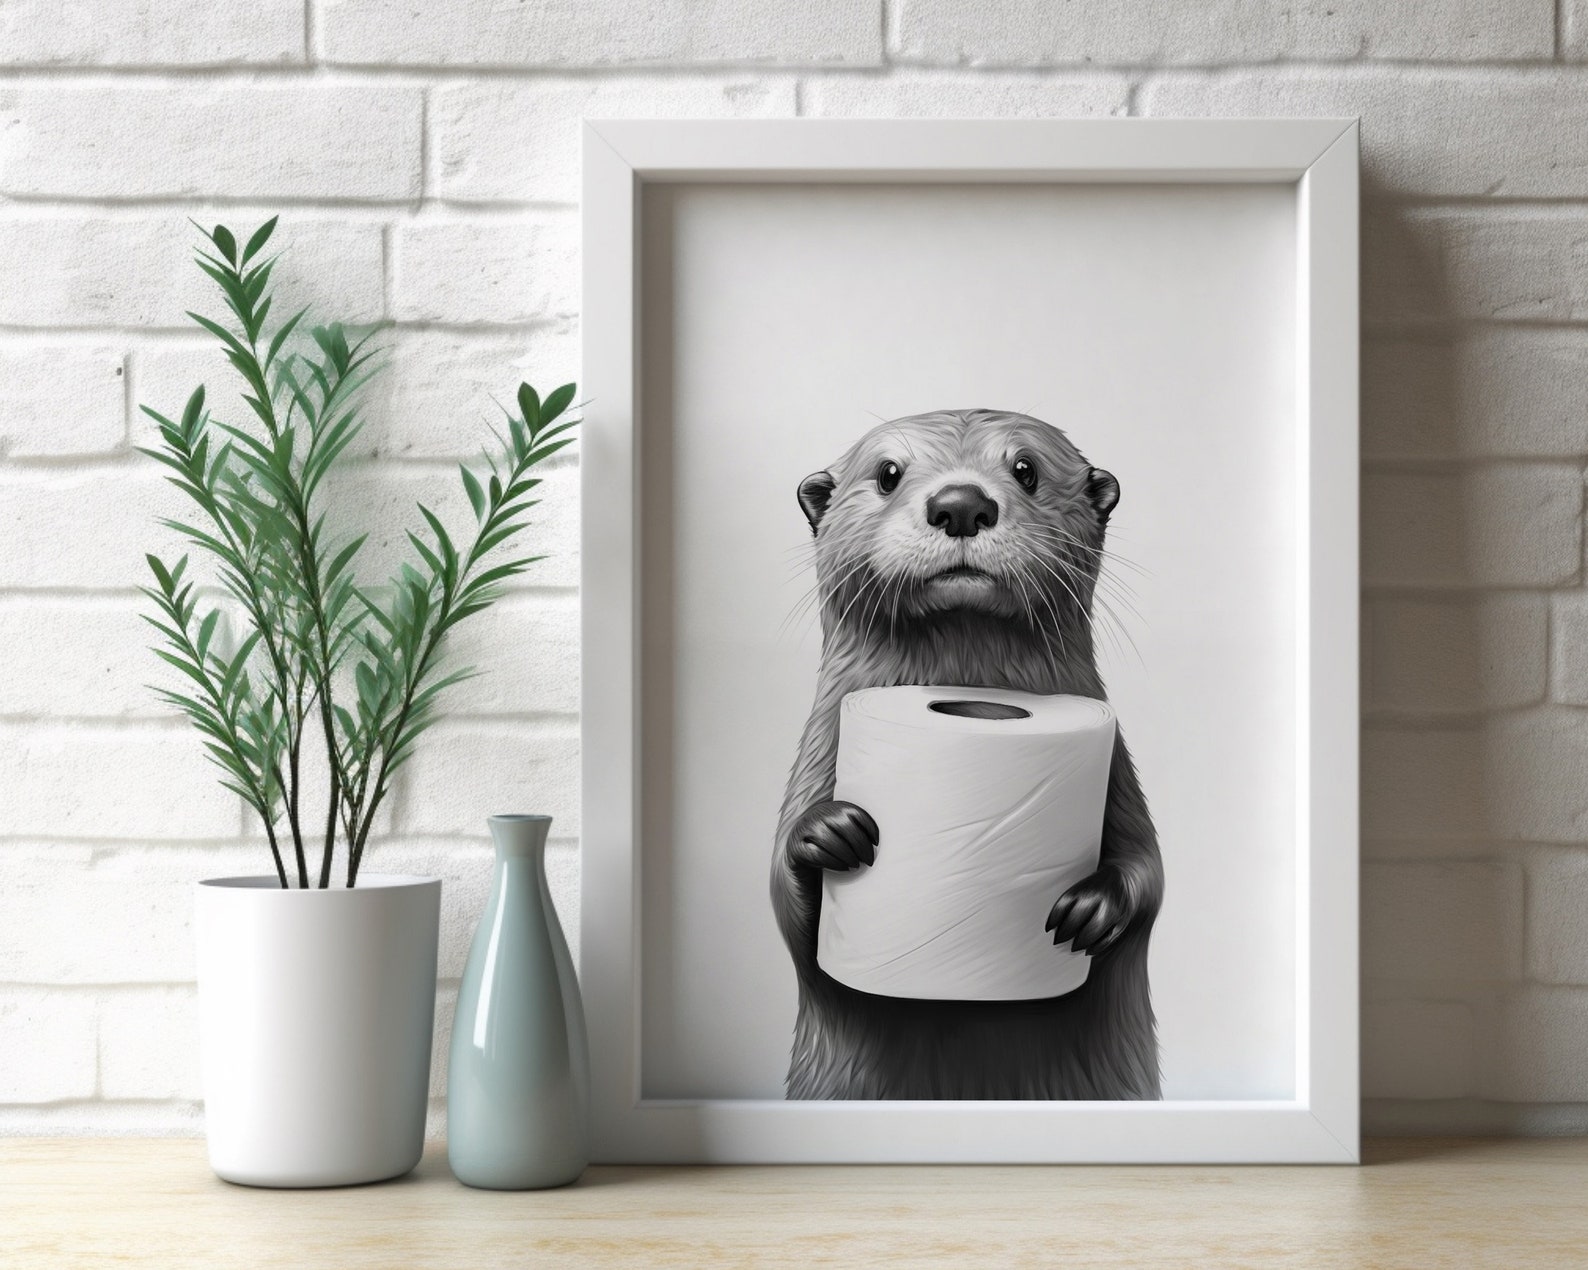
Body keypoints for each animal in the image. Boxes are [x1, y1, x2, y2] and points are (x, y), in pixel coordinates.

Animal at [772, 408, 1163, 1101]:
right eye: (888, 472)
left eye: (1026, 468)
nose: (960, 503)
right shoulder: (817, 757)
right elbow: (786, 906)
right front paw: (827, 833)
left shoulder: (1118, 772)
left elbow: (1150, 873)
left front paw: (1093, 908)